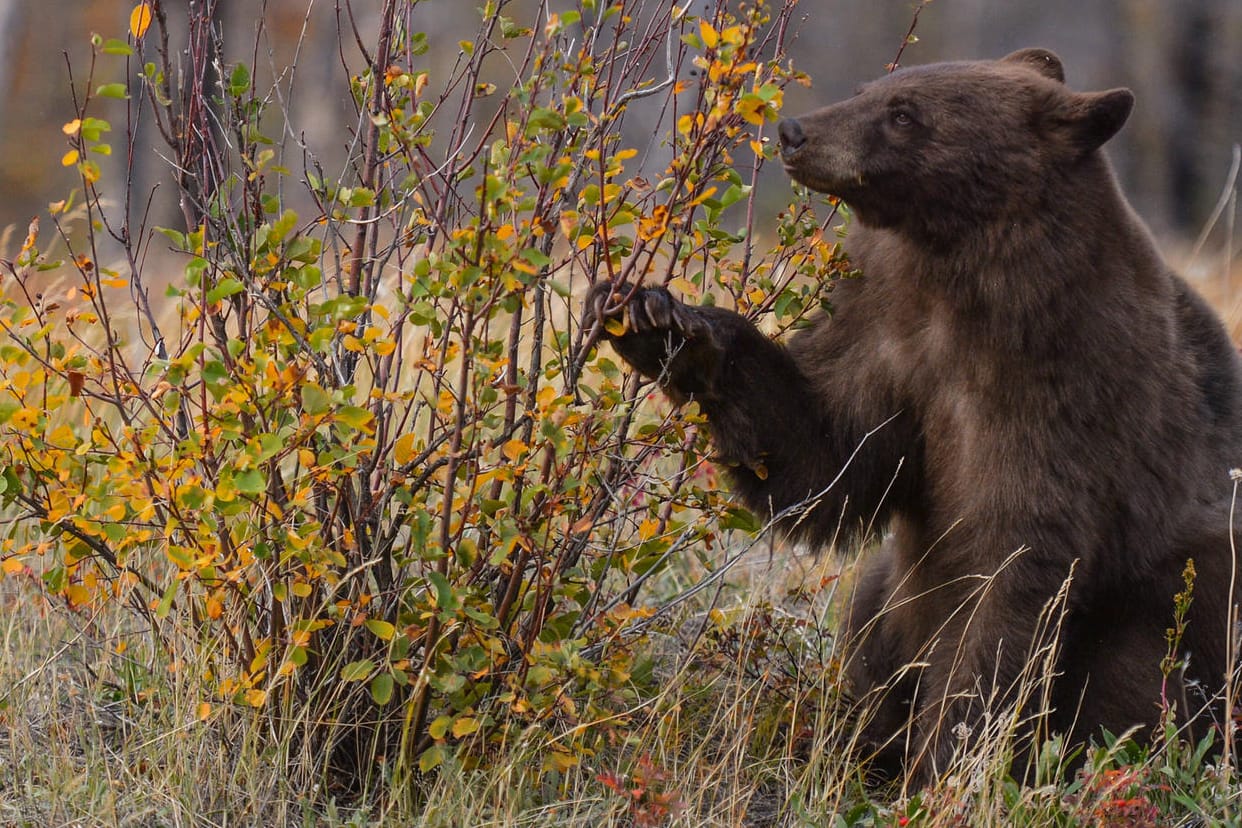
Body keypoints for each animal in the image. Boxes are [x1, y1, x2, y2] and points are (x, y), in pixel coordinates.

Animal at [586, 46, 1242, 784]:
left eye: (905, 114)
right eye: (870, 87)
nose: (796, 132)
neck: (961, 271)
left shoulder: (1063, 388)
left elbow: (1009, 564)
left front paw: (947, 761)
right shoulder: (886, 324)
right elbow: (824, 455)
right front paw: (655, 315)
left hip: (1178, 590)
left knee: (1140, 669)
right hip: (891, 589)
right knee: (871, 615)